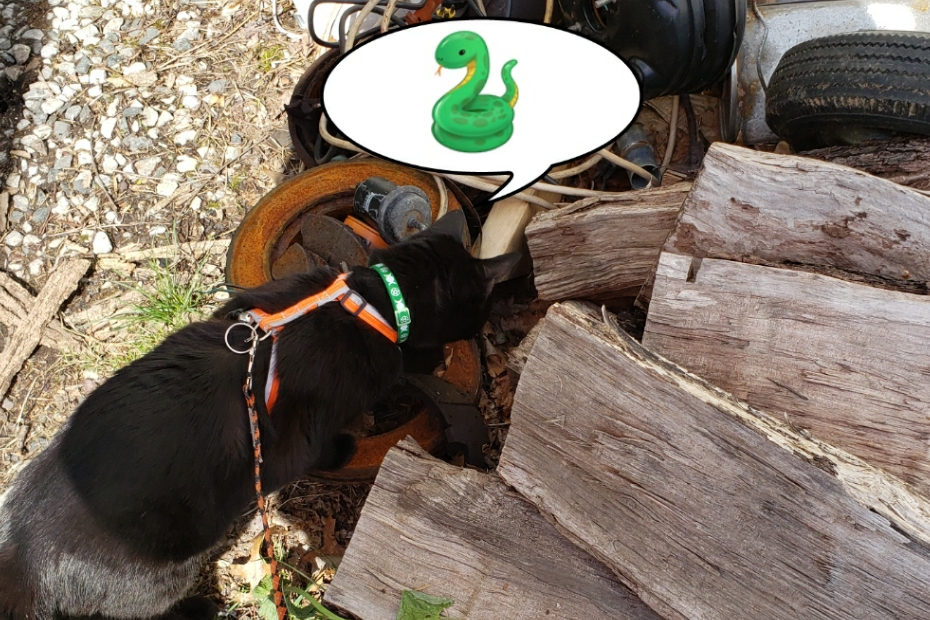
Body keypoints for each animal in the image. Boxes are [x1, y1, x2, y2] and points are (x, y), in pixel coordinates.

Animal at [0, 211, 516, 616]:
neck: (373, 300)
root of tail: (23, 557)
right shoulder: (293, 447)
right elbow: (325, 447)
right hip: (160, 572)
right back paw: (199, 608)